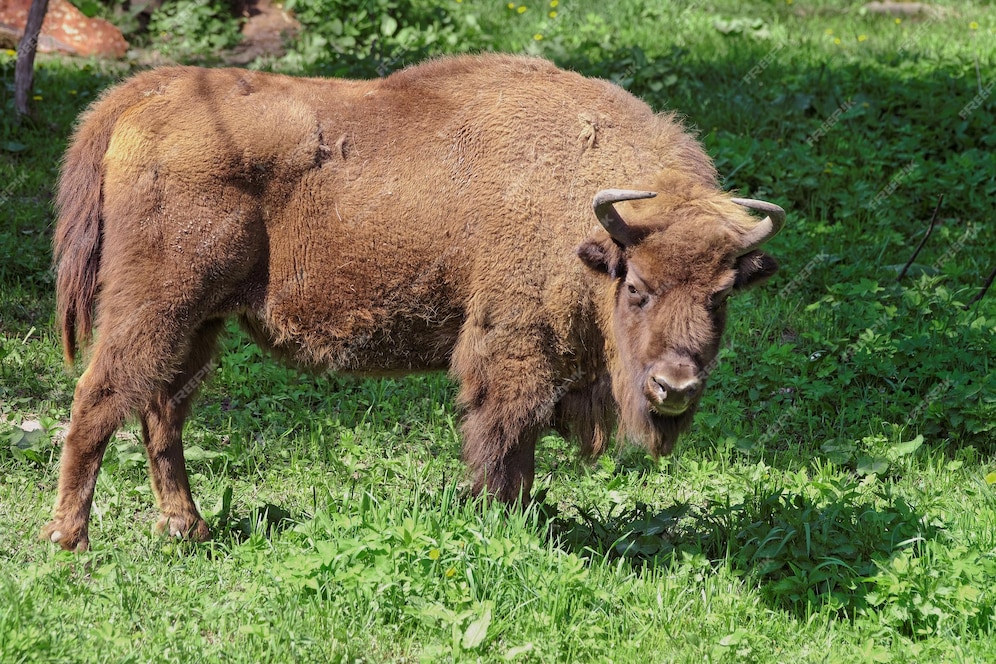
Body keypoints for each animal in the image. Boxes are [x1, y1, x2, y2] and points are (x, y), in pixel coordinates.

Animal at [44, 54, 784, 548]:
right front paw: (502, 526)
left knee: (162, 411)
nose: (675, 387)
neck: (584, 216)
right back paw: (70, 541)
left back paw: (187, 528)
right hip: (156, 305)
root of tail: (153, 91)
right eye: (636, 287)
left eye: (722, 296)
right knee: (101, 399)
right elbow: (505, 445)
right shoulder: (514, 355)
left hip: (203, 320)